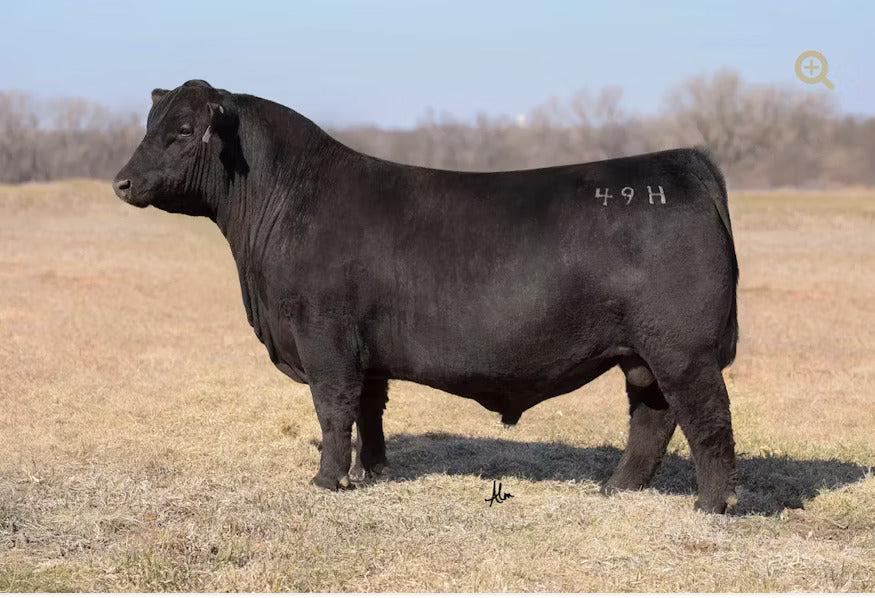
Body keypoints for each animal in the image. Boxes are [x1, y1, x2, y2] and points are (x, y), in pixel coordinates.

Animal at [113, 80, 739, 513]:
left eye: (184, 129)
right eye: (150, 124)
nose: (123, 182)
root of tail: (681, 160)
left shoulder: (324, 335)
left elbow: (333, 408)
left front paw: (327, 480)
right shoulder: (365, 350)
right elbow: (369, 410)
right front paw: (373, 472)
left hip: (683, 350)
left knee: (707, 418)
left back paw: (711, 506)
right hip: (643, 354)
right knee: (653, 419)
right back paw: (615, 489)